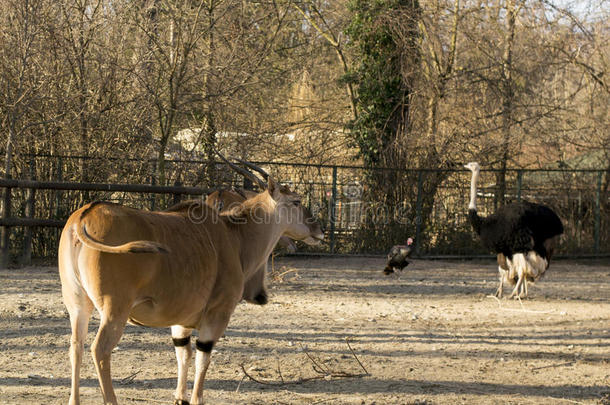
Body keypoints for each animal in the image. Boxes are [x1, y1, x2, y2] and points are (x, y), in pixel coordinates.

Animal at [57, 155, 324, 404]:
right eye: (297, 201)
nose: (319, 231)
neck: (234, 235)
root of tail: (83, 216)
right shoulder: (217, 314)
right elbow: (203, 359)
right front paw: (195, 398)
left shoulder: (180, 322)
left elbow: (182, 355)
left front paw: (179, 397)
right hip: (115, 310)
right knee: (100, 350)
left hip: (78, 306)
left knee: (76, 346)